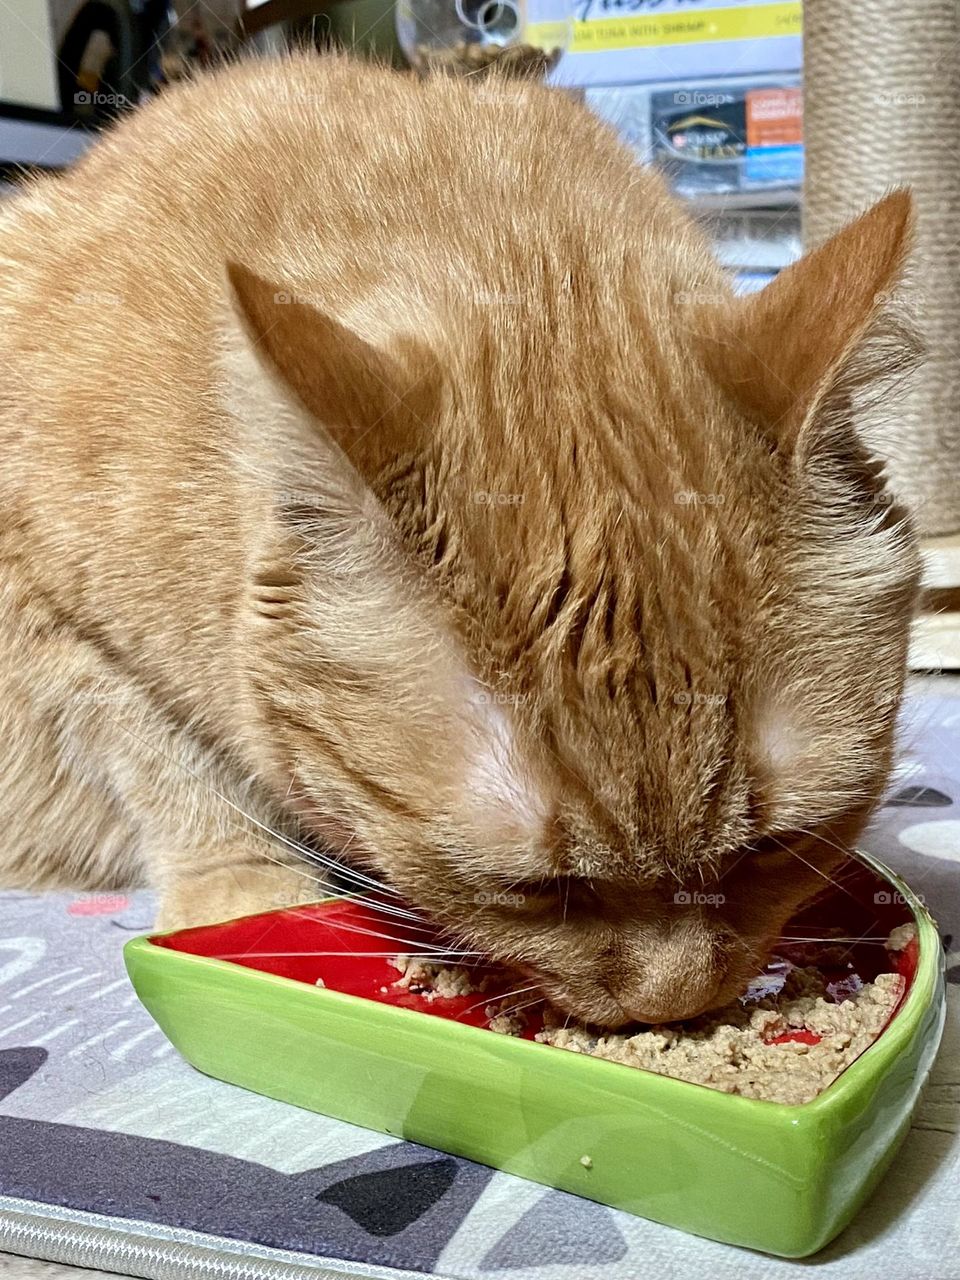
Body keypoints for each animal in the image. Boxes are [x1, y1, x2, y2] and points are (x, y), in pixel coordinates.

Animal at [0, 57, 921, 1018]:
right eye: (534, 891)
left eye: (774, 847)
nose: (673, 1005)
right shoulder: (47, 610)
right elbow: (168, 767)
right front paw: (245, 893)